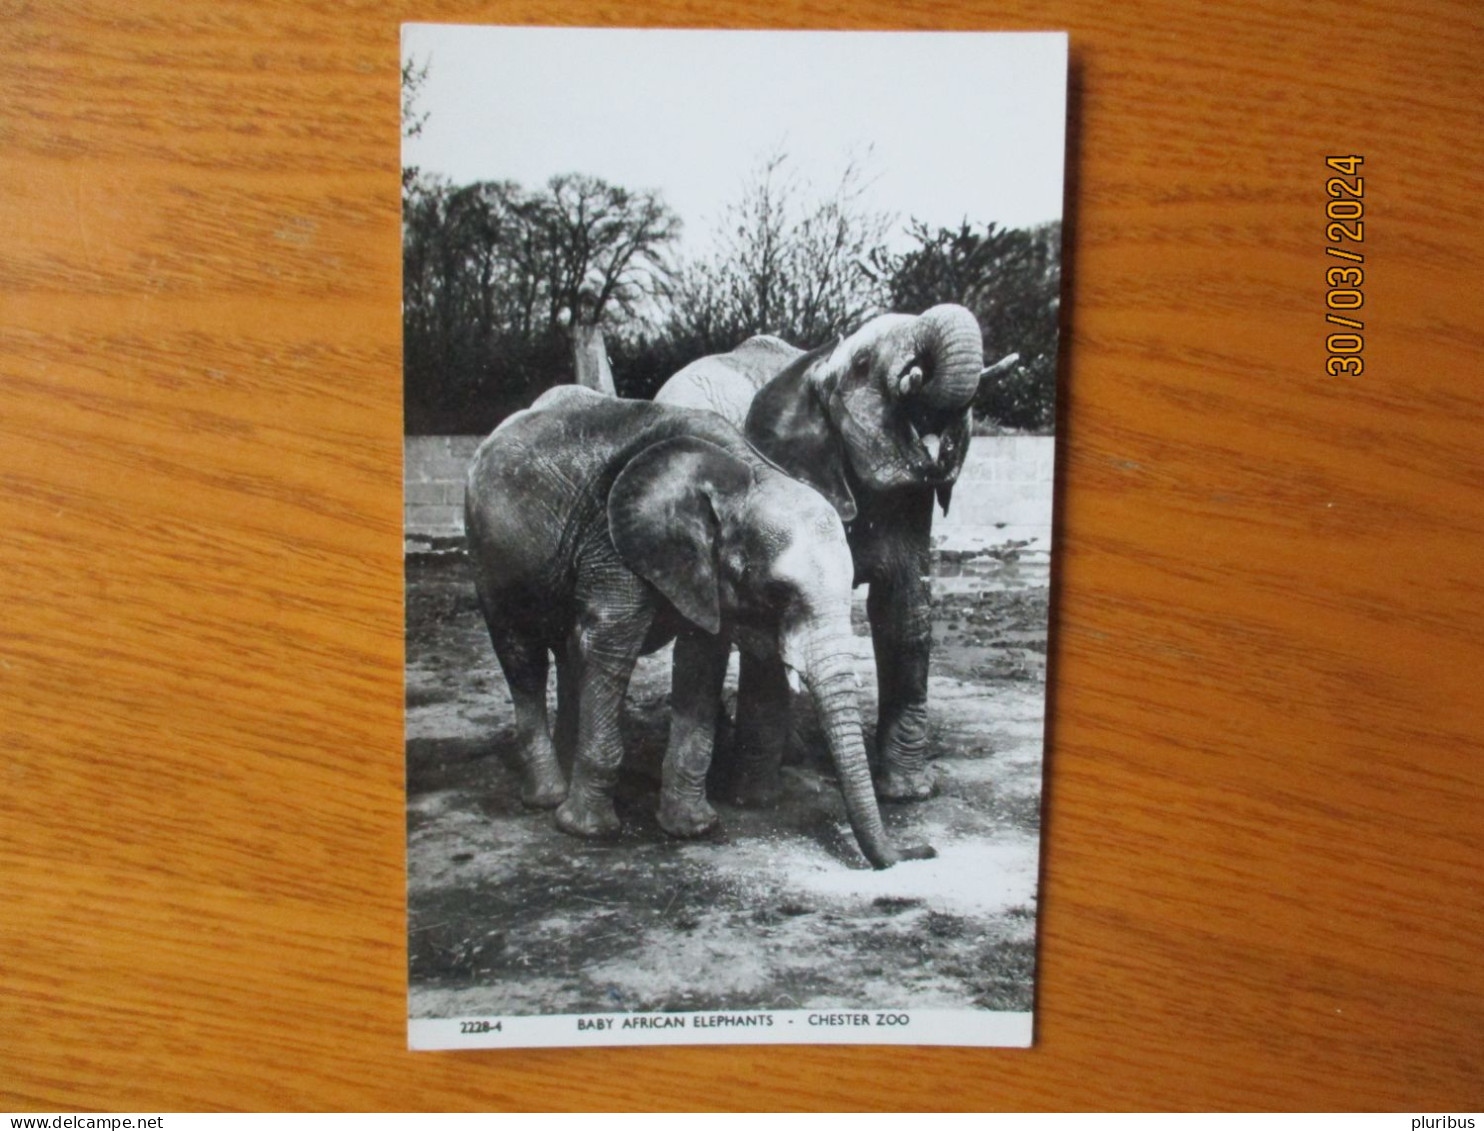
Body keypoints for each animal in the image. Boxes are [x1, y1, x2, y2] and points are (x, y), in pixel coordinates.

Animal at [463, 382, 931, 866]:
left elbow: (701, 660)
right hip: (487, 553)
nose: (923, 850)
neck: (748, 474)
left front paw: (691, 829)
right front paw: (588, 832)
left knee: (570, 653)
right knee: (522, 657)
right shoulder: (612, 544)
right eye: (778, 591)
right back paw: (547, 798)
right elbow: (612, 644)